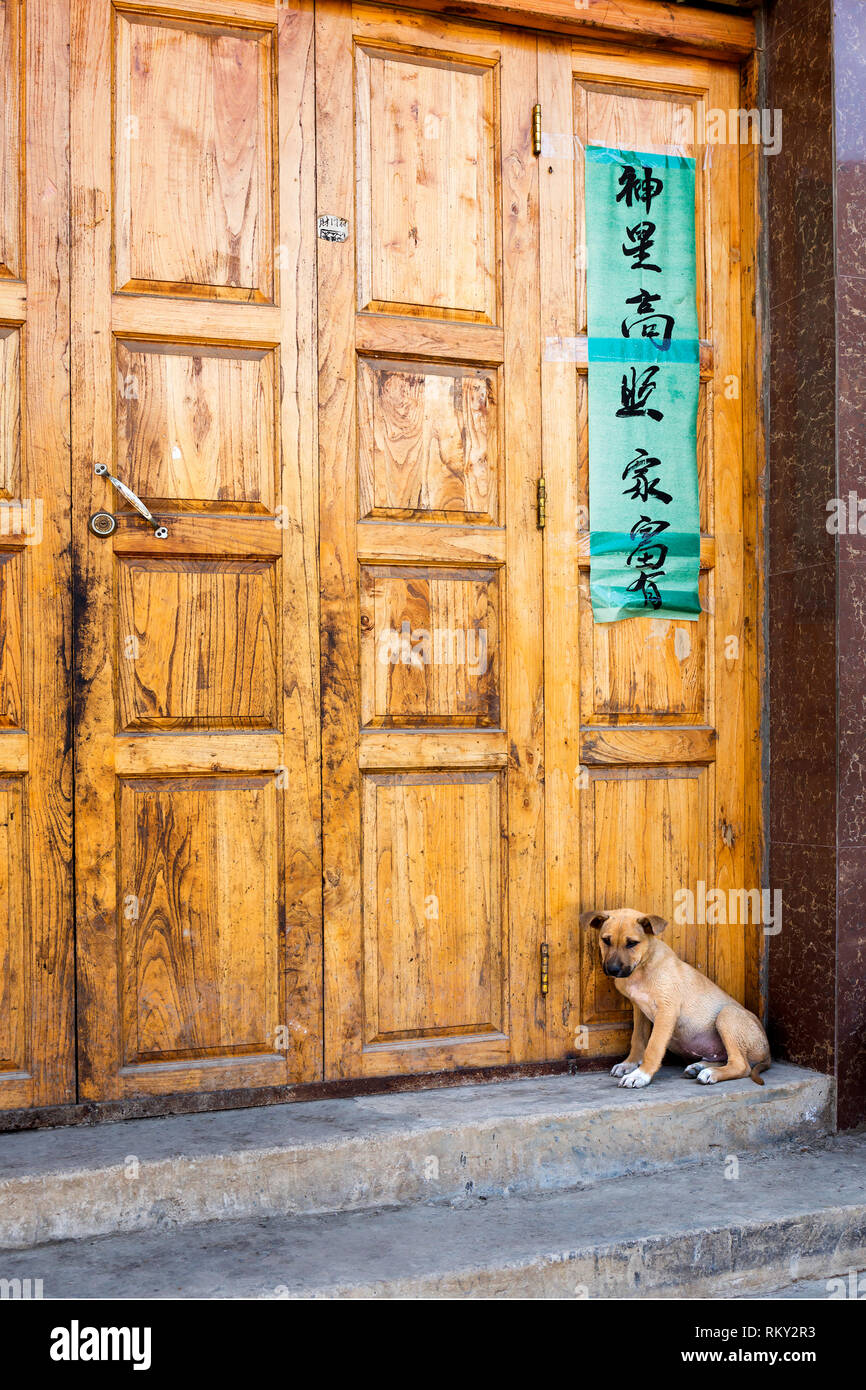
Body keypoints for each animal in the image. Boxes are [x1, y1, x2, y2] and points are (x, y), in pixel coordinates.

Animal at [583, 906, 772, 1089]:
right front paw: (628, 1064)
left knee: (742, 1066)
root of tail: (768, 1053)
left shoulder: (666, 1011)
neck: (643, 967)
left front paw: (640, 1075)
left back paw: (711, 1073)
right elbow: (637, 1039)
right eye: (606, 940)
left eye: (632, 943)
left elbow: (653, 1047)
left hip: (728, 1015)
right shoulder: (640, 1010)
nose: (612, 970)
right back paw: (699, 1067)